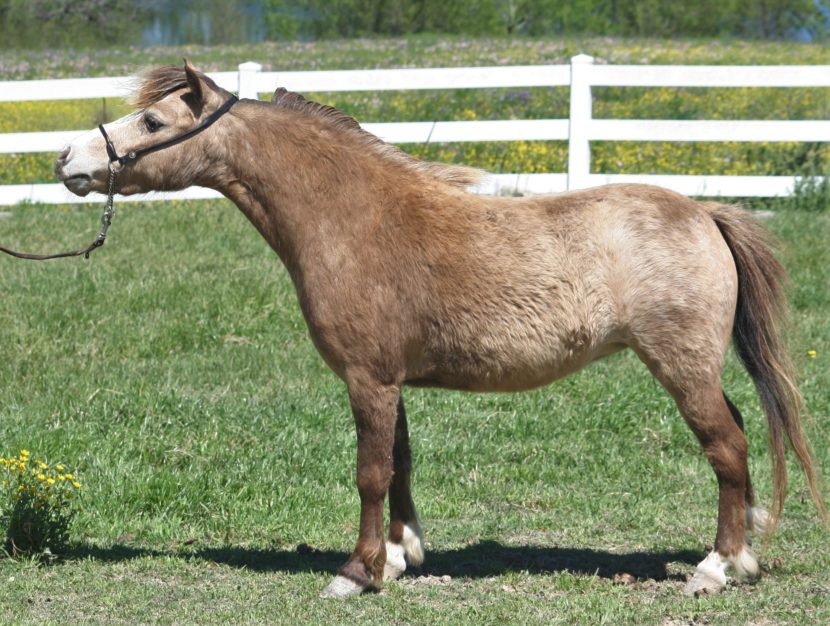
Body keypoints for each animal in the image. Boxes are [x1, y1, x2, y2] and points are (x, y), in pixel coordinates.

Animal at [54, 61, 826, 598]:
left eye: (154, 123)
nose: (68, 161)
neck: (352, 217)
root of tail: (704, 213)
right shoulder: (389, 380)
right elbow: (399, 465)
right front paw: (398, 557)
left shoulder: (367, 378)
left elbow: (369, 473)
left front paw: (355, 573)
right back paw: (744, 552)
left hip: (680, 366)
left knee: (727, 448)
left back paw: (715, 568)